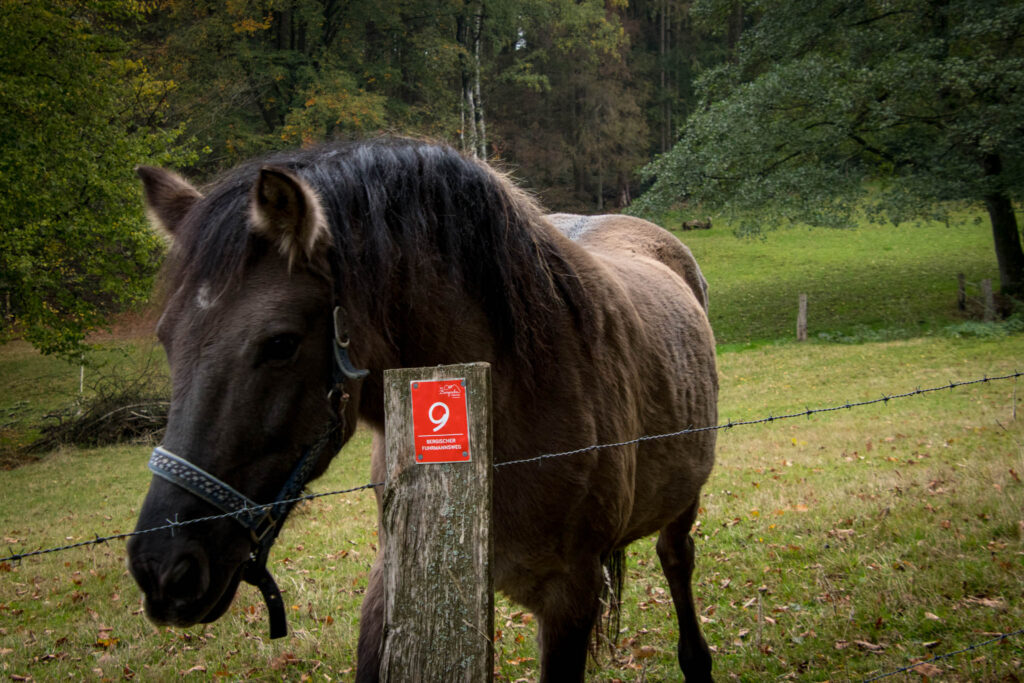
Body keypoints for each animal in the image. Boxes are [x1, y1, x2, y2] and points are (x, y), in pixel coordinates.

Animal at [125, 139, 720, 683]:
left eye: (280, 344)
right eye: (166, 339)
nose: (162, 568)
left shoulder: (570, 597)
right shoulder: (395, 579)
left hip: (682, 503)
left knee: (677, 559)